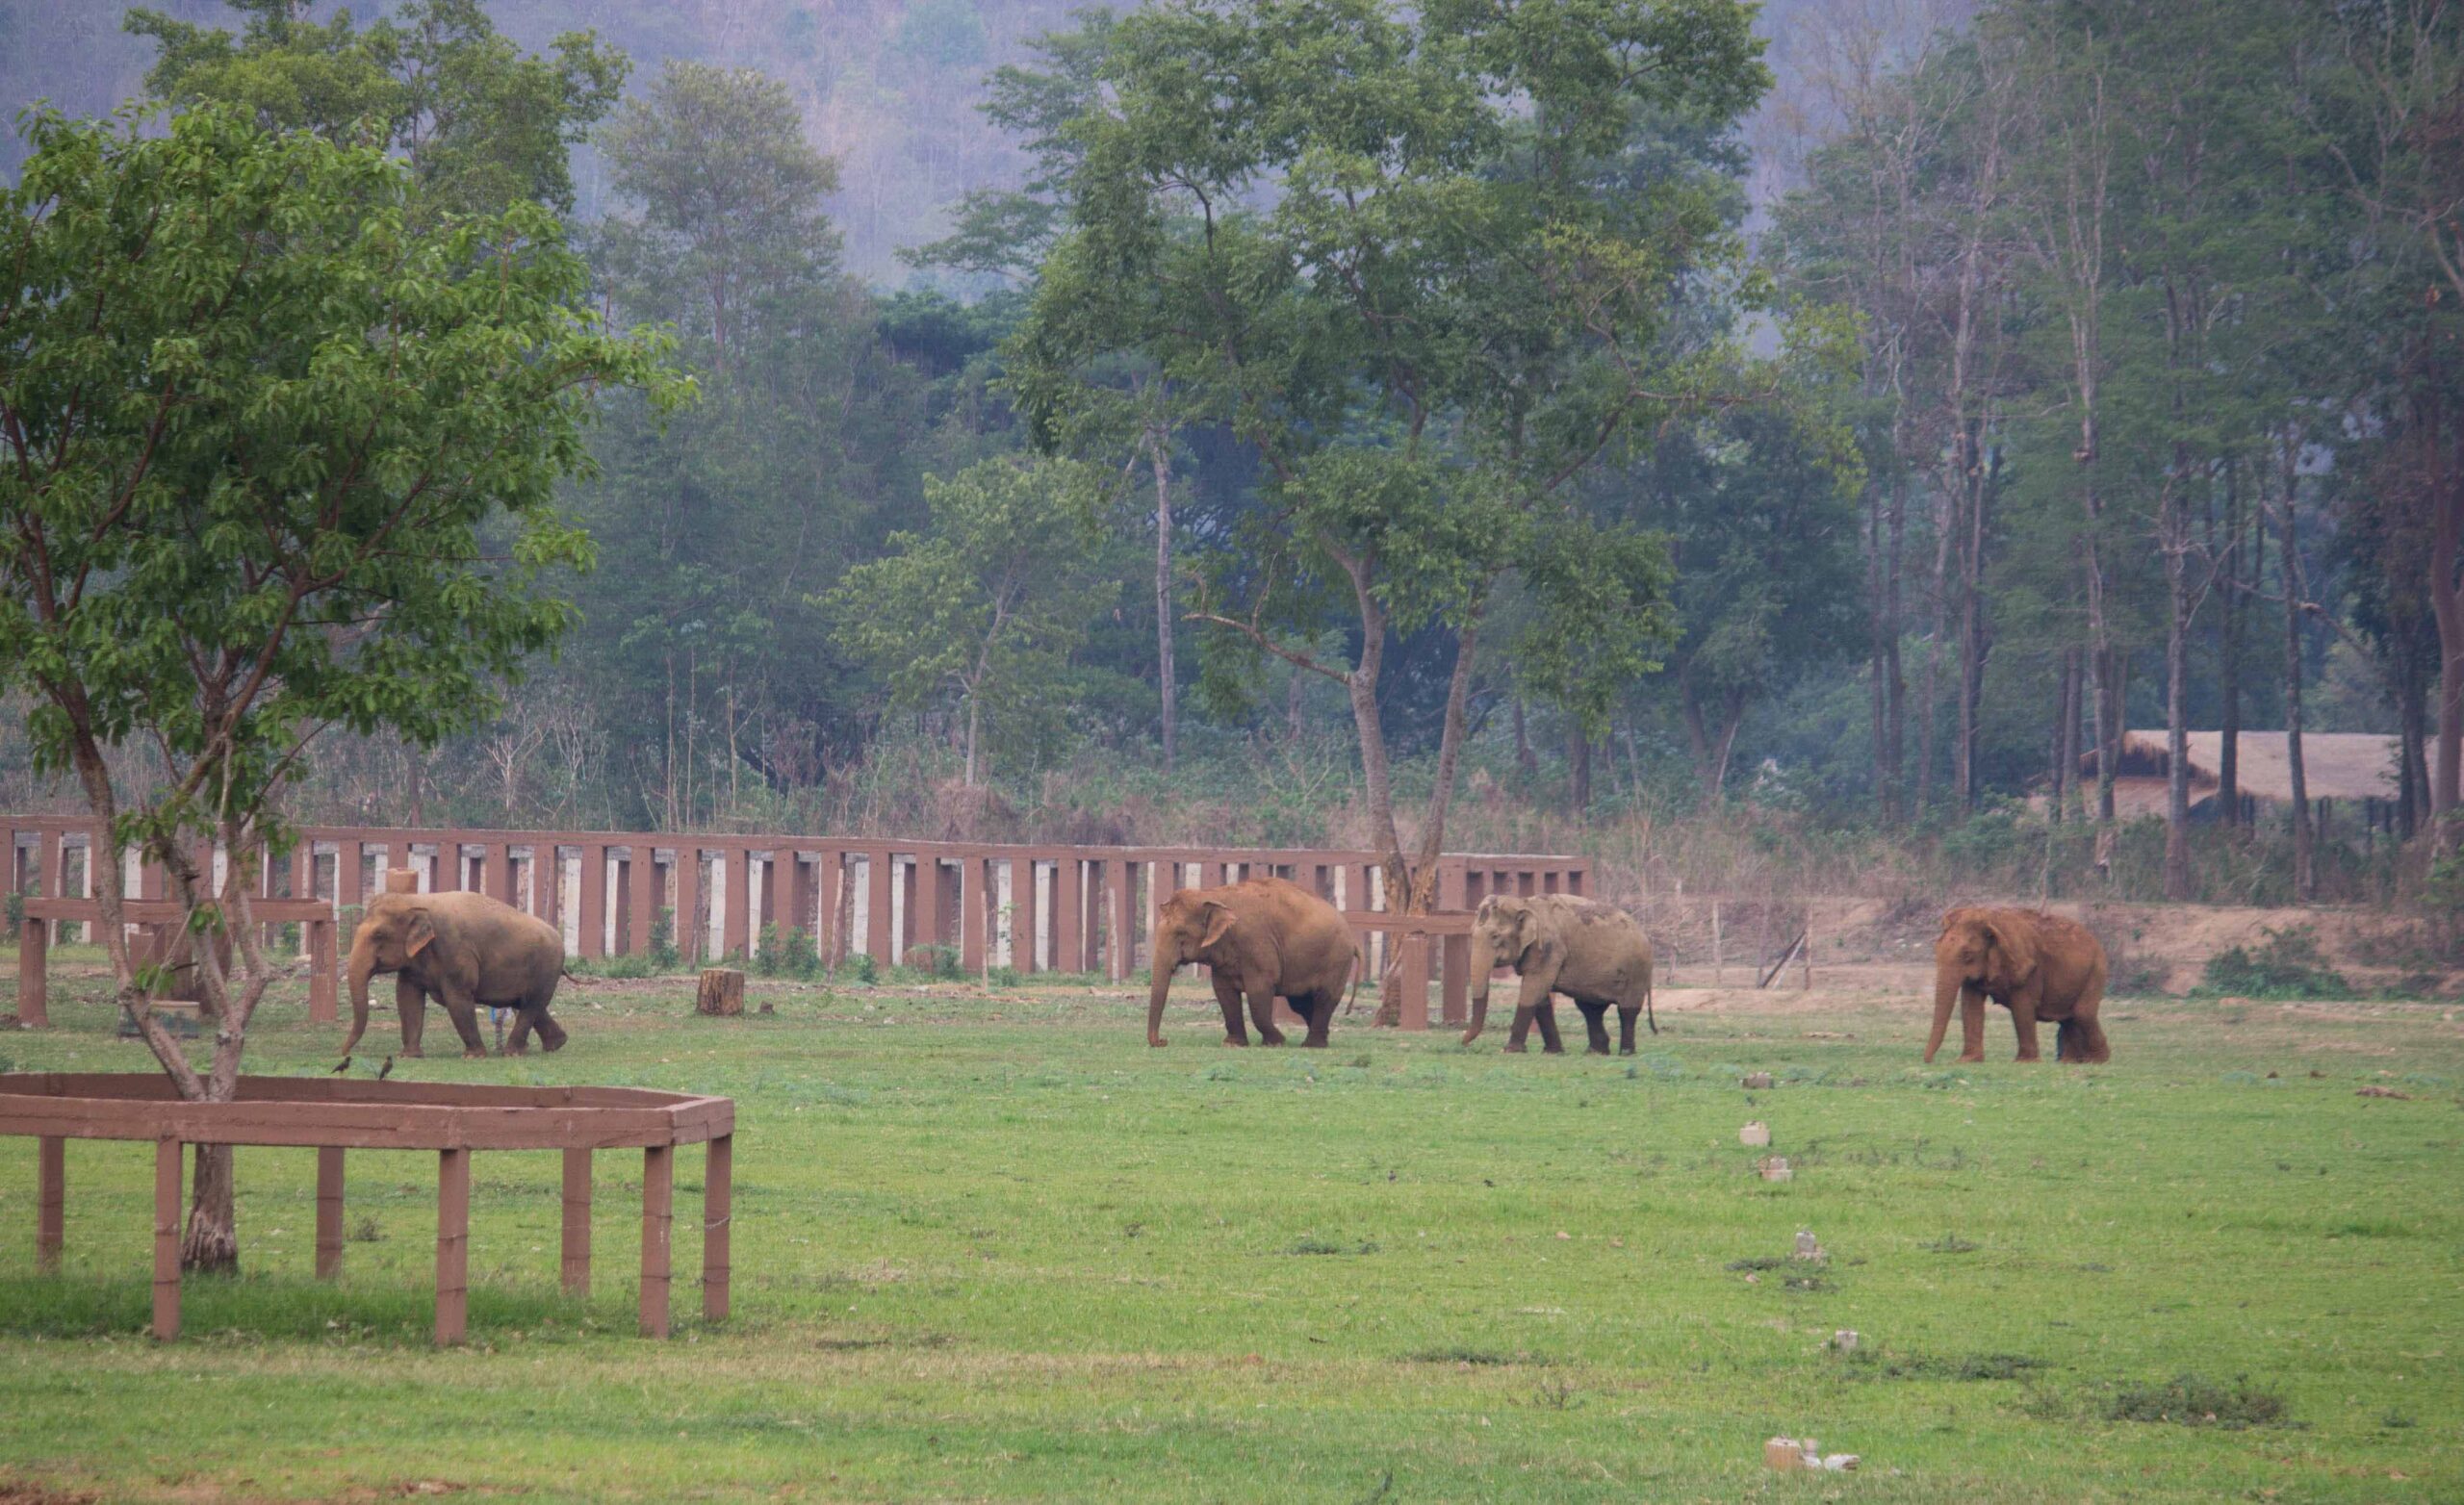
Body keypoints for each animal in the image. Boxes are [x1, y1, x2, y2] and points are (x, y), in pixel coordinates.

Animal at [341, 890, 570, 1059]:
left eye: (378, 935)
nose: (343, 1053)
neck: (416, 900)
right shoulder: (413, 962)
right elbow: (407, 998)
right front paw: (408, 1056)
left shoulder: (455, 949)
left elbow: (457, 998)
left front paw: (473, 1057)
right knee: (526, 1005)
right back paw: (555, 1044)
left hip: (547, 967)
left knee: (532, 1004)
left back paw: (512, 1053)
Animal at [1147, 876, 1358, 1049]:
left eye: (1180, 934)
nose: (1163, 1041)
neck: (1213, 894)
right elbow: (1224, 992)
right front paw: (1233, 1044)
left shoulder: (1258, 945)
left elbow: (1259, 991)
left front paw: (1276, 1042)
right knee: (1300, 1002)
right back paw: (1322, 1039)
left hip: (1337, 960)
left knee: (1325, 997)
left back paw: (1312, 1045)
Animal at [1460, 893, 1656, 1055]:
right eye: (1471, 933)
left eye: (1495, 936)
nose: (1463, 1041)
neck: (1524, 903)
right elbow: (1539, 997)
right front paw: (1552, 1052)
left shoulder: (1550, 949)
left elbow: (1533, 989)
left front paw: (1510, 1050)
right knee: (1590, 1009)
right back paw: (1595, 1052)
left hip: (1637, 973)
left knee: (1627, 1010)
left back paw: (1626, 1052)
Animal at [1925, 906, 2111, 1064]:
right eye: (1936, 950)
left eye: (1967, 954)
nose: (1929, 1061)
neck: (1989, 917)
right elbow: (1970, 1005)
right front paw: (1967, 1061)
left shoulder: (2028, 966)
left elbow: (2021, 1006)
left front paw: (2024, 1062)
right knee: (2068, 1018)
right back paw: (2068, 1062)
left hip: (2096, 970)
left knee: (2082, 1013)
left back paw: (2096, 1061)